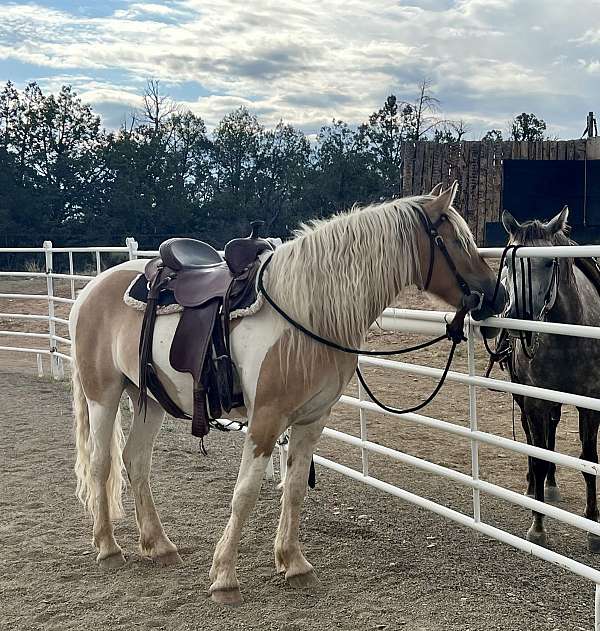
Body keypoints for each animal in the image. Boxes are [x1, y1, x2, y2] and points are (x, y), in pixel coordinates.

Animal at [68, 181, 504, 604]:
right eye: (457, 240)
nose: (497, 295)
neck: (306, 314)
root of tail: (92, 289)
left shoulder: (312, 420)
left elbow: (294, 490)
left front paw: (293, 564)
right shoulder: (265, 420)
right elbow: (244, 493)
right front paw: (224, 577)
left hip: (150, 400)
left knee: (135, 461)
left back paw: (159, 545)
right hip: (103, 396)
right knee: (102, 462)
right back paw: (108, 547)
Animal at [504, 209, 600, 552]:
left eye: (549, 262)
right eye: (508, 263)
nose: (517, 317)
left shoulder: (590, 404)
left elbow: (589, 461)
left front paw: (593, 527)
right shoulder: (535, 401)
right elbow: (539, 457)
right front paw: (538, 526)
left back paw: (551, 485)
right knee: (535, 442)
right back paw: (534, 486)